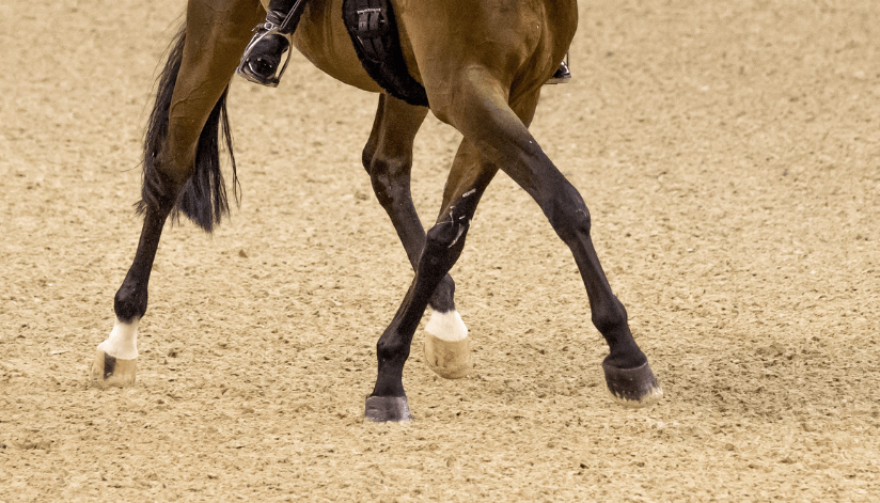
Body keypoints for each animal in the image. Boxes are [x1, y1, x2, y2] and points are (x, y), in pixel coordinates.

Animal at [93, 0, 664, 420]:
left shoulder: (515, 97)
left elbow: (449, 234)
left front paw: (392, 368)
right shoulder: (467, 91)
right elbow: (564, 204)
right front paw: (626, 354)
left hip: (402, 82)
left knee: (385, 167)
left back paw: (446, 322)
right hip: (220, 27)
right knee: (169, 171)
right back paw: (122, 337)